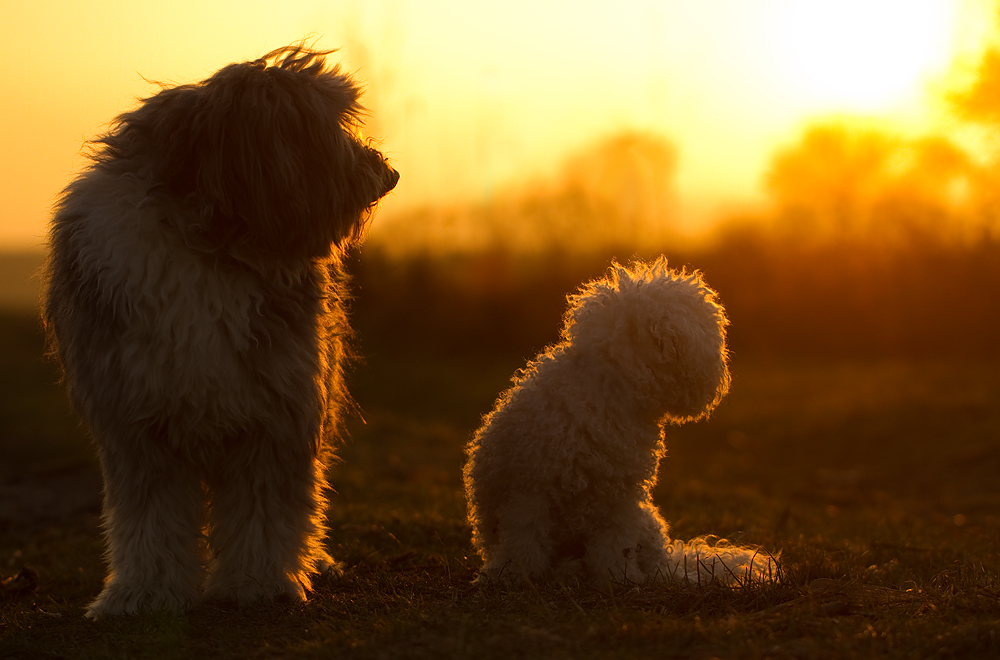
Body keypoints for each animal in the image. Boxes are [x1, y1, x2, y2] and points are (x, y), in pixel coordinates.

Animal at [464, 258, 776, 588]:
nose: (721, 371)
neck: (608, 383)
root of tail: (670, 556)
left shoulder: (619, 497)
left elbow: (613, 543)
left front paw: (617, 578)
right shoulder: (528, 490)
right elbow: (524, 542)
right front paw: (513, 575)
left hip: (646, 522)